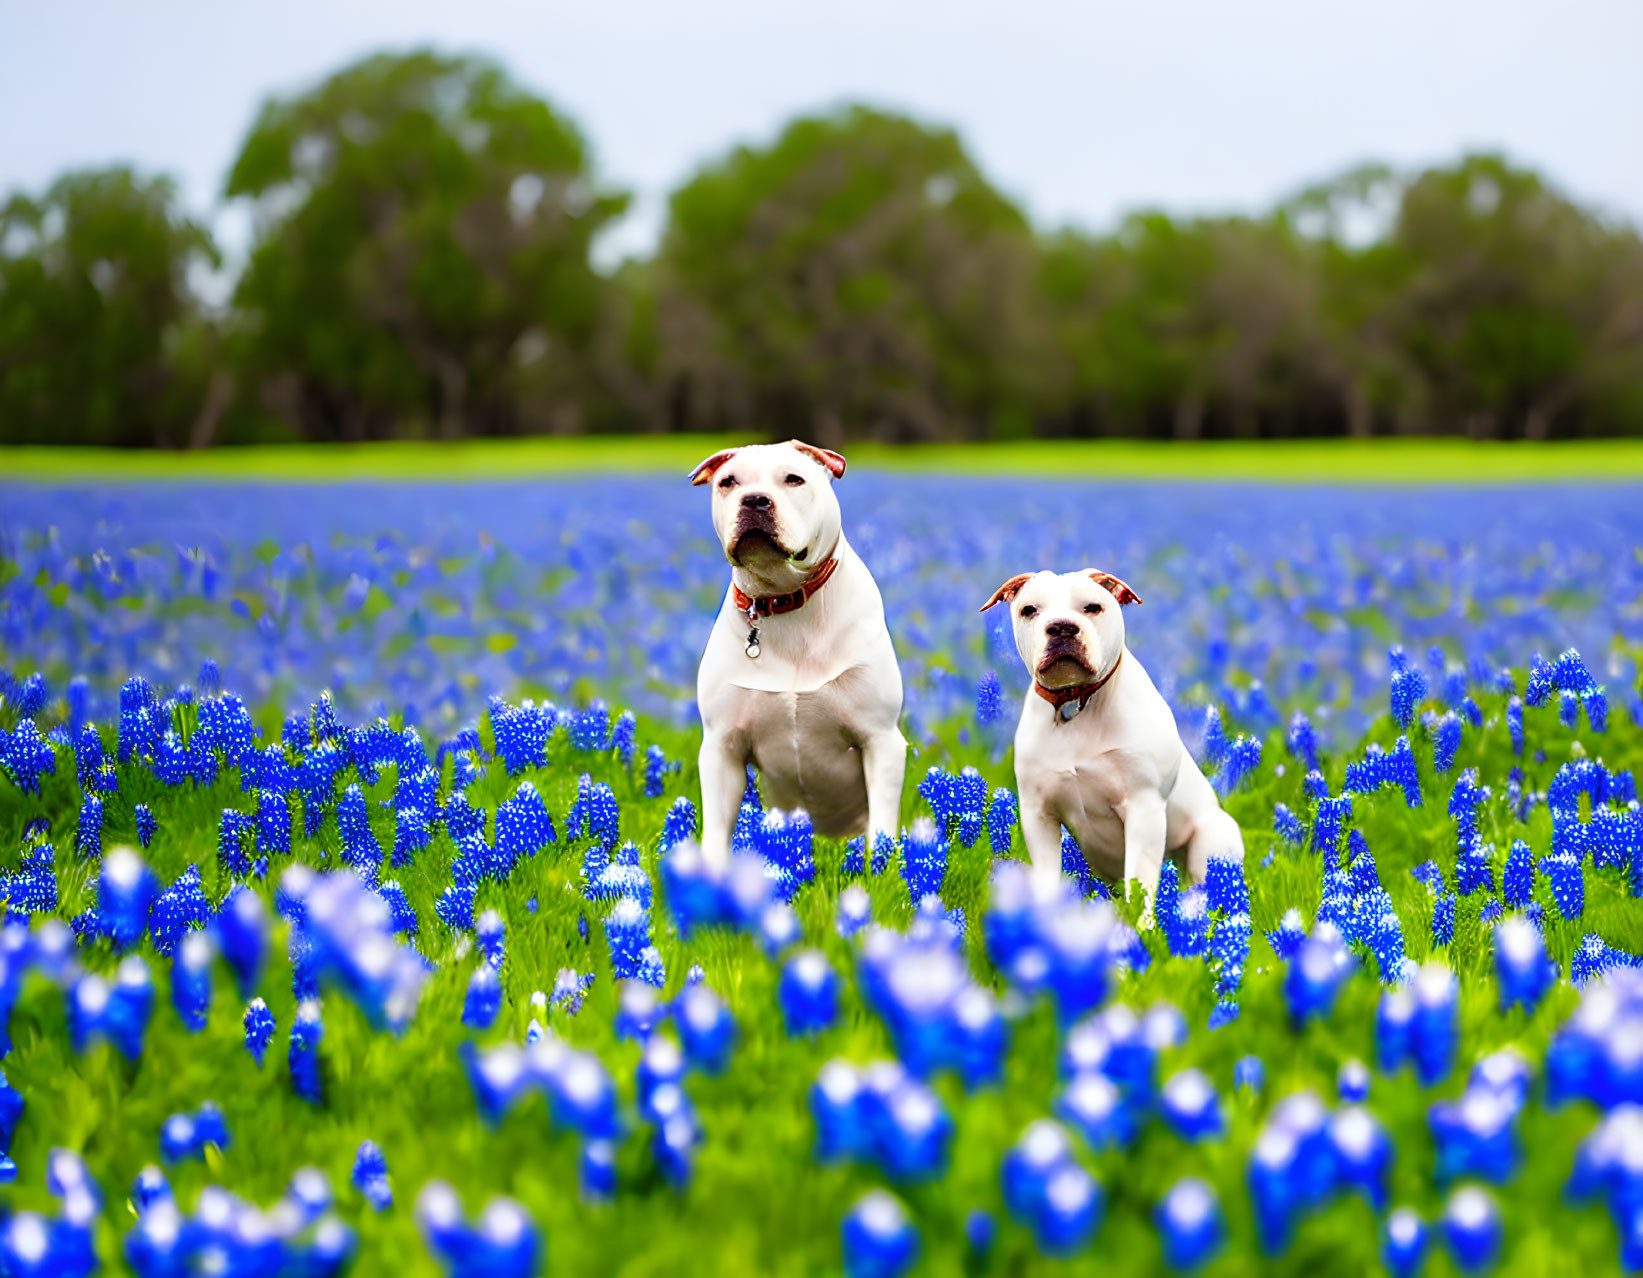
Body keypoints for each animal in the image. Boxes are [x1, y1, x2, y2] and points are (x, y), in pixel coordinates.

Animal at [686, 436, 906, 867]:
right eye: (728, 482)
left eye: (793, 479)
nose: (755, 500)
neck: (783, 600)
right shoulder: (722, 745)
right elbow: (717, 835)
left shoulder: (881, 738)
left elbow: (881, 834)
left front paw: (882, 874)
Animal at [979, 561, 1235, 900]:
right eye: (1029, 610)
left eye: (1093, 607)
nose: (1062, 627)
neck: (1076, 703)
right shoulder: (1039, 813)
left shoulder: (1144, 808)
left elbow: (1140, 888)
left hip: (1212, 842)